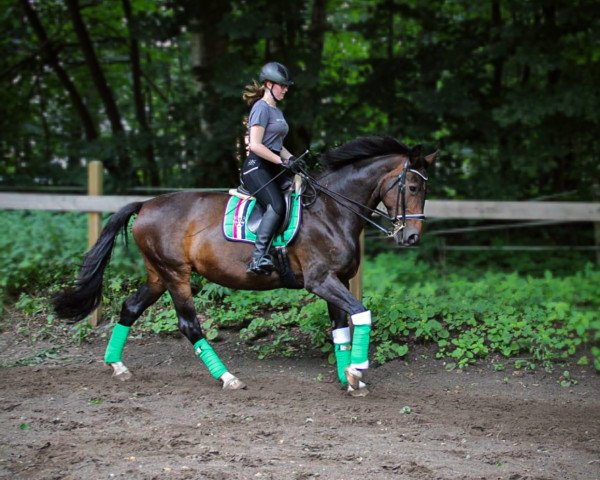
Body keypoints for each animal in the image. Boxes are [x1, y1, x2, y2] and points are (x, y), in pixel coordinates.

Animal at [52, 134, 436, 394]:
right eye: (413, 186)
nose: (412, 238)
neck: (331, 210)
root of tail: (145, 204)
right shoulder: (320, 280)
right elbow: (362, 314)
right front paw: (358, 369)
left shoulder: (336, 281)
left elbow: (341, 329)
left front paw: (349, 378)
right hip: (176, 275)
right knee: (189, 324)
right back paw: (227, 377)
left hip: (158, 275)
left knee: (130, 307)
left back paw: (117, 365)